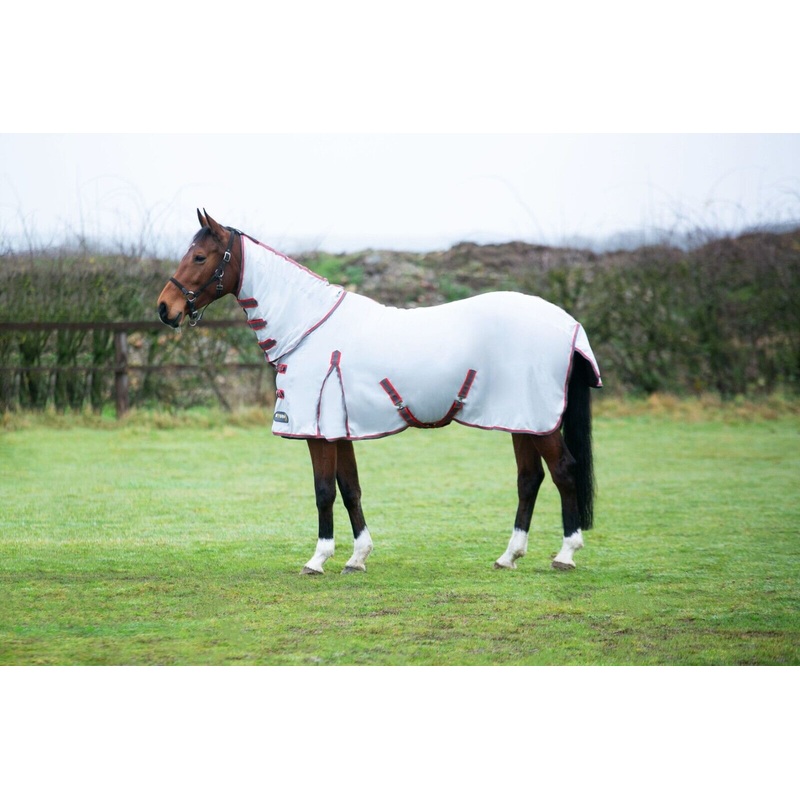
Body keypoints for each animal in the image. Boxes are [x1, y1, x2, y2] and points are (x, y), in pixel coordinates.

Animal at [157, 210, 602, 575]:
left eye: (200, 257)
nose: (165, 309)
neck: (308, 327)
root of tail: (569, 323)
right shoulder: (339, 429)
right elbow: (350, 489)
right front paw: (357, 557)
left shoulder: (318, 433)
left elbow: (324, 492)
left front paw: (318, 559)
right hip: (520, 419)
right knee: (529, 479)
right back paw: (509, 556)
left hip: (539, 421)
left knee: (564, 471)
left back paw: (565, 555)